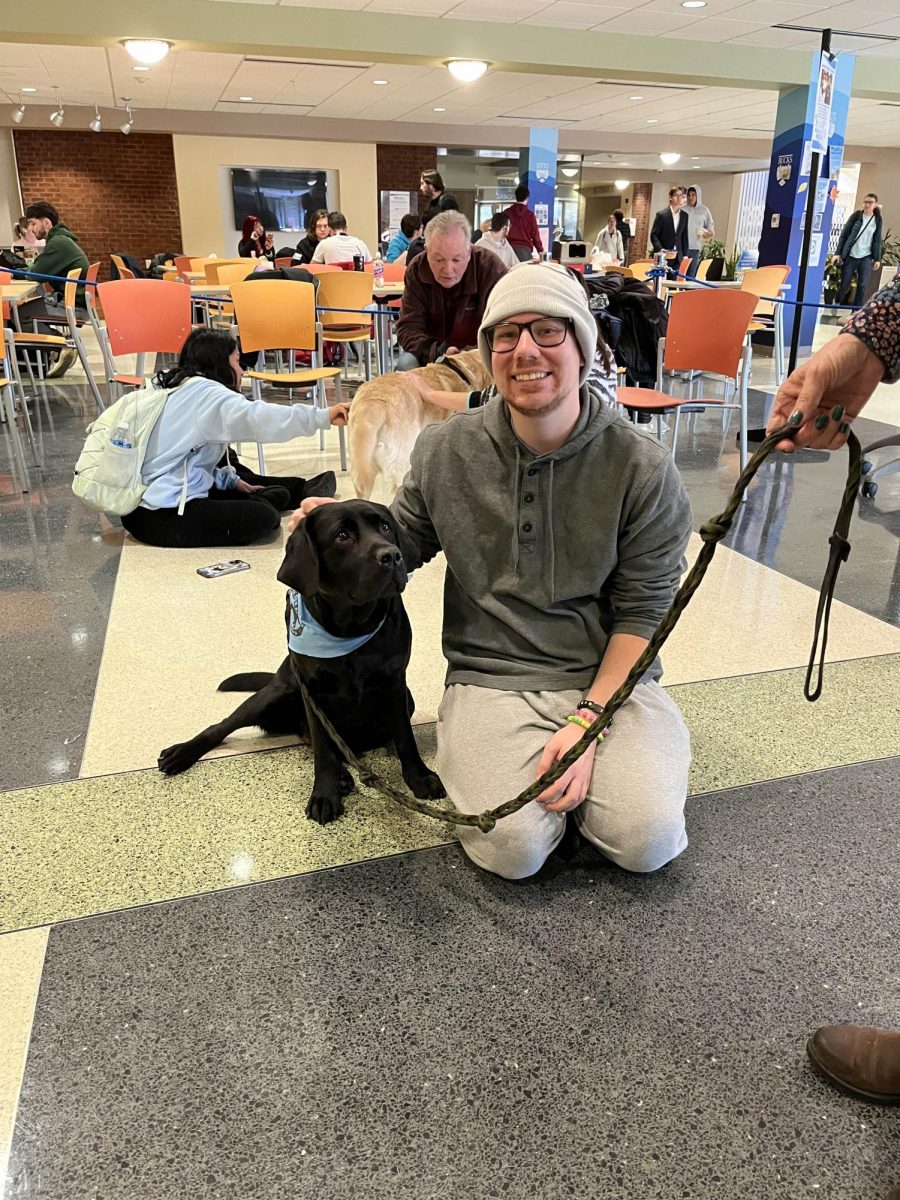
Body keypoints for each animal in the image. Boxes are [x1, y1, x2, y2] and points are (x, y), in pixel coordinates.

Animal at [160, 499, 448, 825]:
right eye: (342, 536)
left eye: (385, 526)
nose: (392, 556)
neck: (351, 626)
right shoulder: (314, 694)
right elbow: (323, 749)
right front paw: (324, 794)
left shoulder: (395, 683)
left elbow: (405, 737)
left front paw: (420, 777)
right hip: (273, 693)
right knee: (223, 726)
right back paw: (182, 753)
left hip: (405, 698)